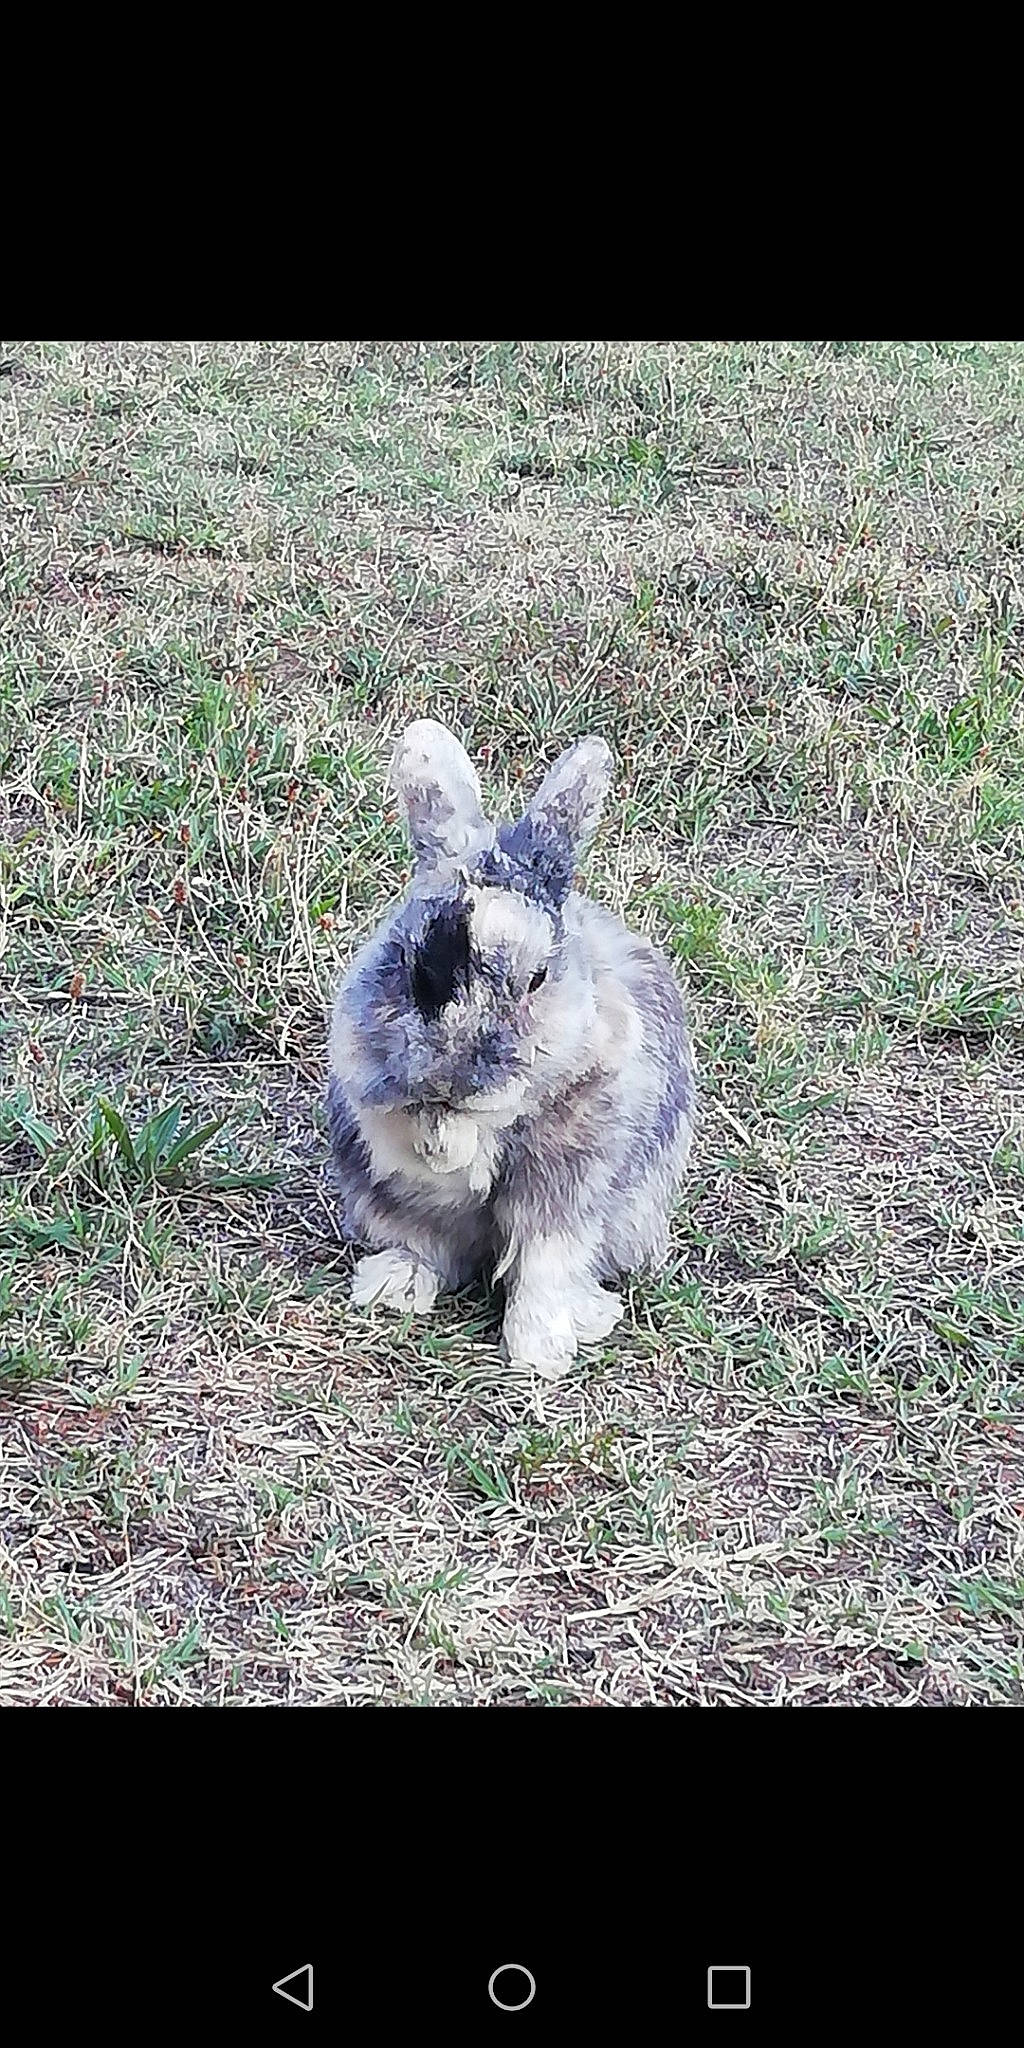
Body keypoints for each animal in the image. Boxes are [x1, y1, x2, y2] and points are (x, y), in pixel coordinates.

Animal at [326, 718, 696, 1380]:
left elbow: (543, 1254)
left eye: (537, 978)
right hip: (387, 1208)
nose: (452, 1077)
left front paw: (538, 1356)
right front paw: (445, 1145)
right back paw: (394, 1286)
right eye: (415, 966)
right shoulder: (364, 1077)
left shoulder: (567, 1182)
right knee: (427, 1250)